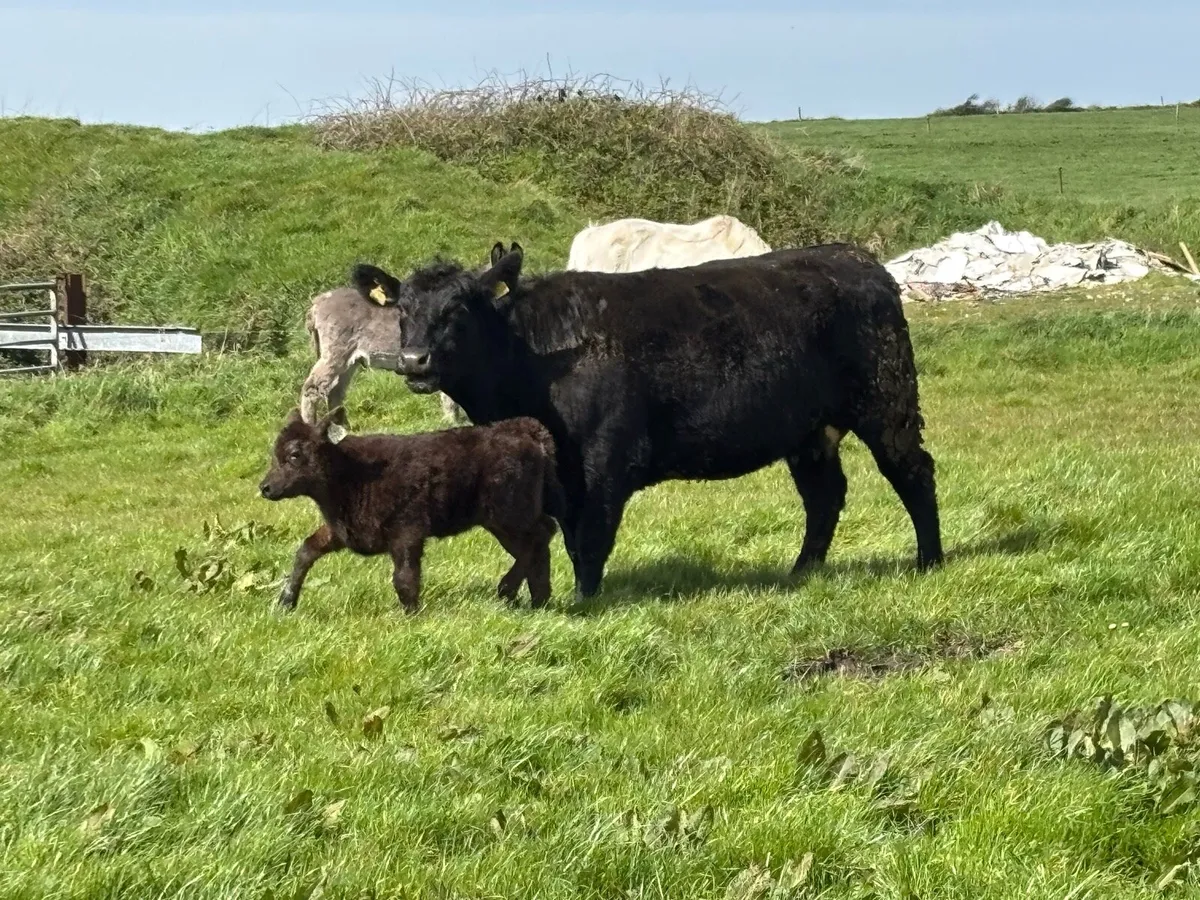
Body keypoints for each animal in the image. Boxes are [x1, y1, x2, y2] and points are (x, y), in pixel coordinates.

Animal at [258, 406, 564, 614]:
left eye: (295, 455)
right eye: (275, 454)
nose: (265, 488)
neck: (352, 472)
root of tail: (525, 429)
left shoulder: (407, 531)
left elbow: (404, 576)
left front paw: (411, 614)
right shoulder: (342, 531)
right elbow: (307, 550)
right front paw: (286, 602)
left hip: (509, 514)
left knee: (540, 536)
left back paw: (507, 589)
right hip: (505, 521)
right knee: (539, 541)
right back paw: (539, 599)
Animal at [360, 240, 945, 600]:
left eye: (459, 309)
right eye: (402, 310)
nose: (414, 361)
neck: (534, 357)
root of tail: (855, 257)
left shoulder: (603, 461)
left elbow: (589, 540)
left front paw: (583, 603)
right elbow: (558, 539)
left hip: (887, 402)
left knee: (912, 472)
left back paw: (930, 562)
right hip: (808, 430)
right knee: (824, 495)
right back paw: (802, 572)